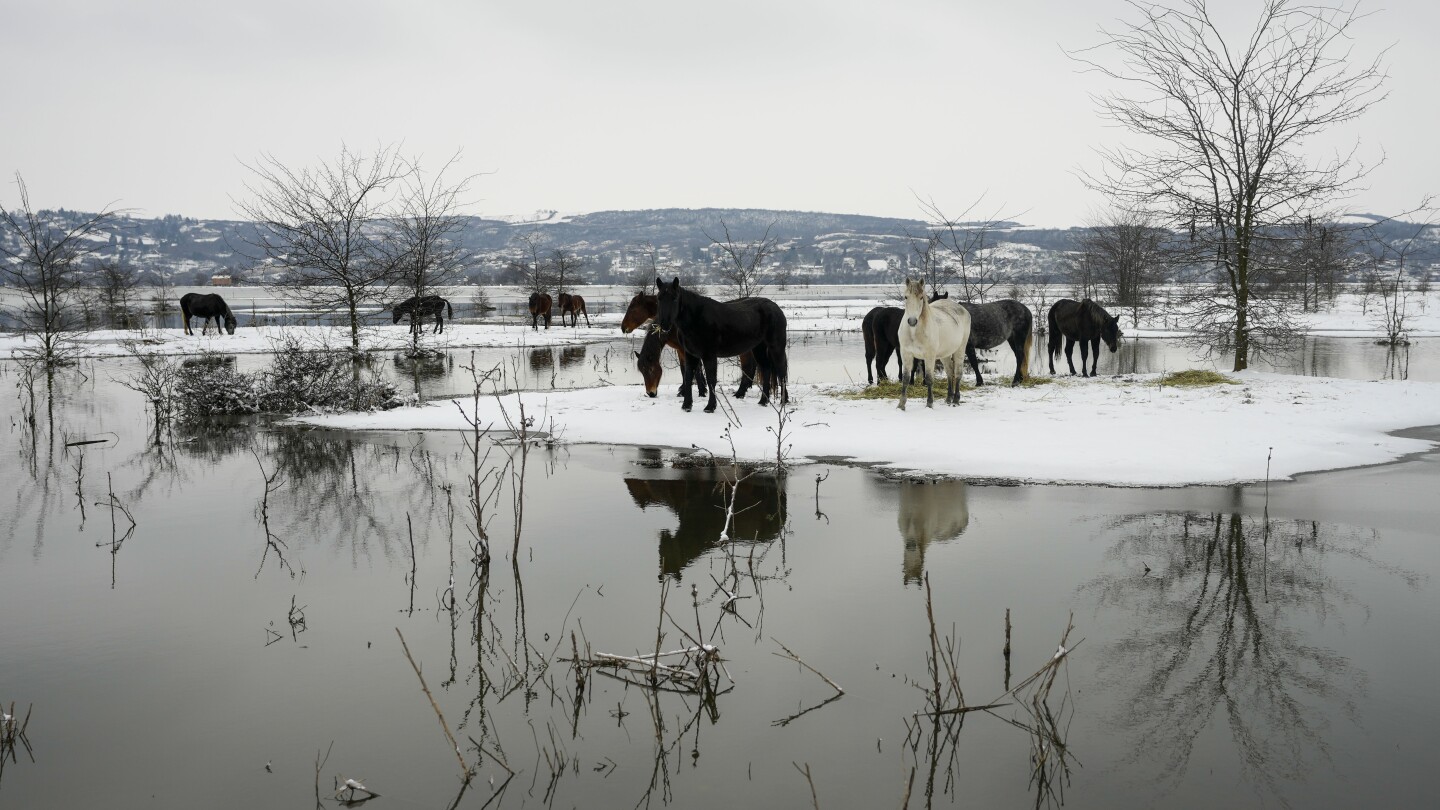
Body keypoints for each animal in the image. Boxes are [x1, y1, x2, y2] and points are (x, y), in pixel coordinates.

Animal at [653, 275, 789, 412]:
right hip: (759, 348)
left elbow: (711, 380)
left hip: (776, 347)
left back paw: (783, 401)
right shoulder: (690, 354)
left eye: (674, 298)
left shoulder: (709, 356)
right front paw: (686, 405)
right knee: (766, 369)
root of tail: (776, 308)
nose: (664, 324)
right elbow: (688, 377)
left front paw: (710, 407)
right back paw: (763, 401)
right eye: (659, 298)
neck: (696, 318)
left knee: (781, 372)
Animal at [892, 275, 973, 406]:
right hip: (945, 354)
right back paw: (948, 398)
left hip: (960, 350)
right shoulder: (906, 354)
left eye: (921, 297)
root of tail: (963, 310)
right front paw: (901, 405)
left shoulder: (929, 355)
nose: (912, 321)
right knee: (950, 372)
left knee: (958, 373)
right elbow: (906, 378)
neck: (914, 331)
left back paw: (956, 399)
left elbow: (929, 378)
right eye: (906, 297)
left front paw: (929, 403)